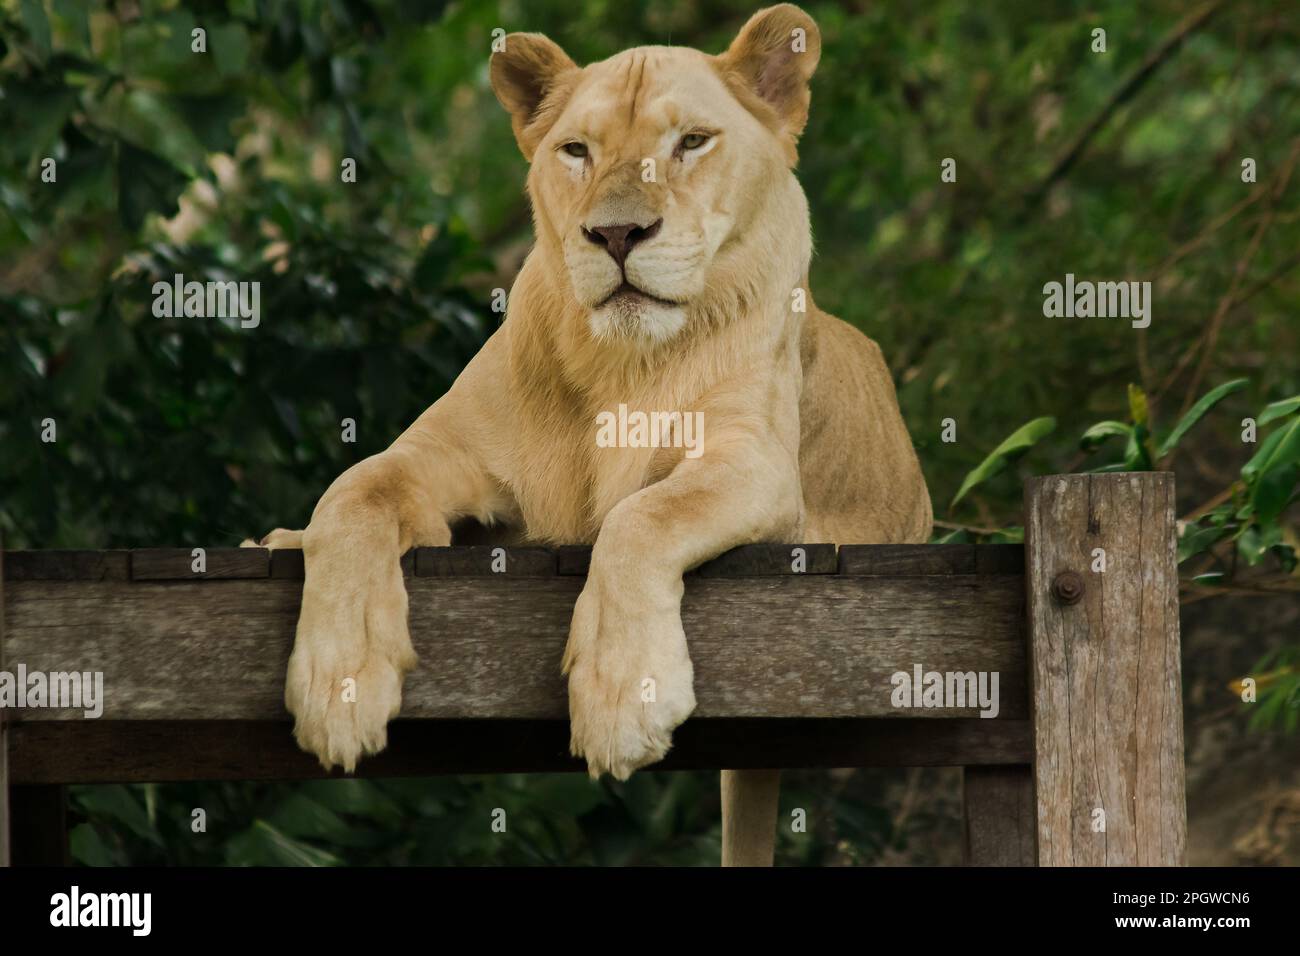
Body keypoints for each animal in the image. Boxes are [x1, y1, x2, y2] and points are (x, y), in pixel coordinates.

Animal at [248, 3, 931, 866]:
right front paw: (339, 684)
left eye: (691, 142)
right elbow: (354, 491)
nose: (616, 234)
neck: (620, 364)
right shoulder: (441, 454)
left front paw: (620, 695)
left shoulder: (757, 462)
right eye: (577, 151)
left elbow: (643, 518)